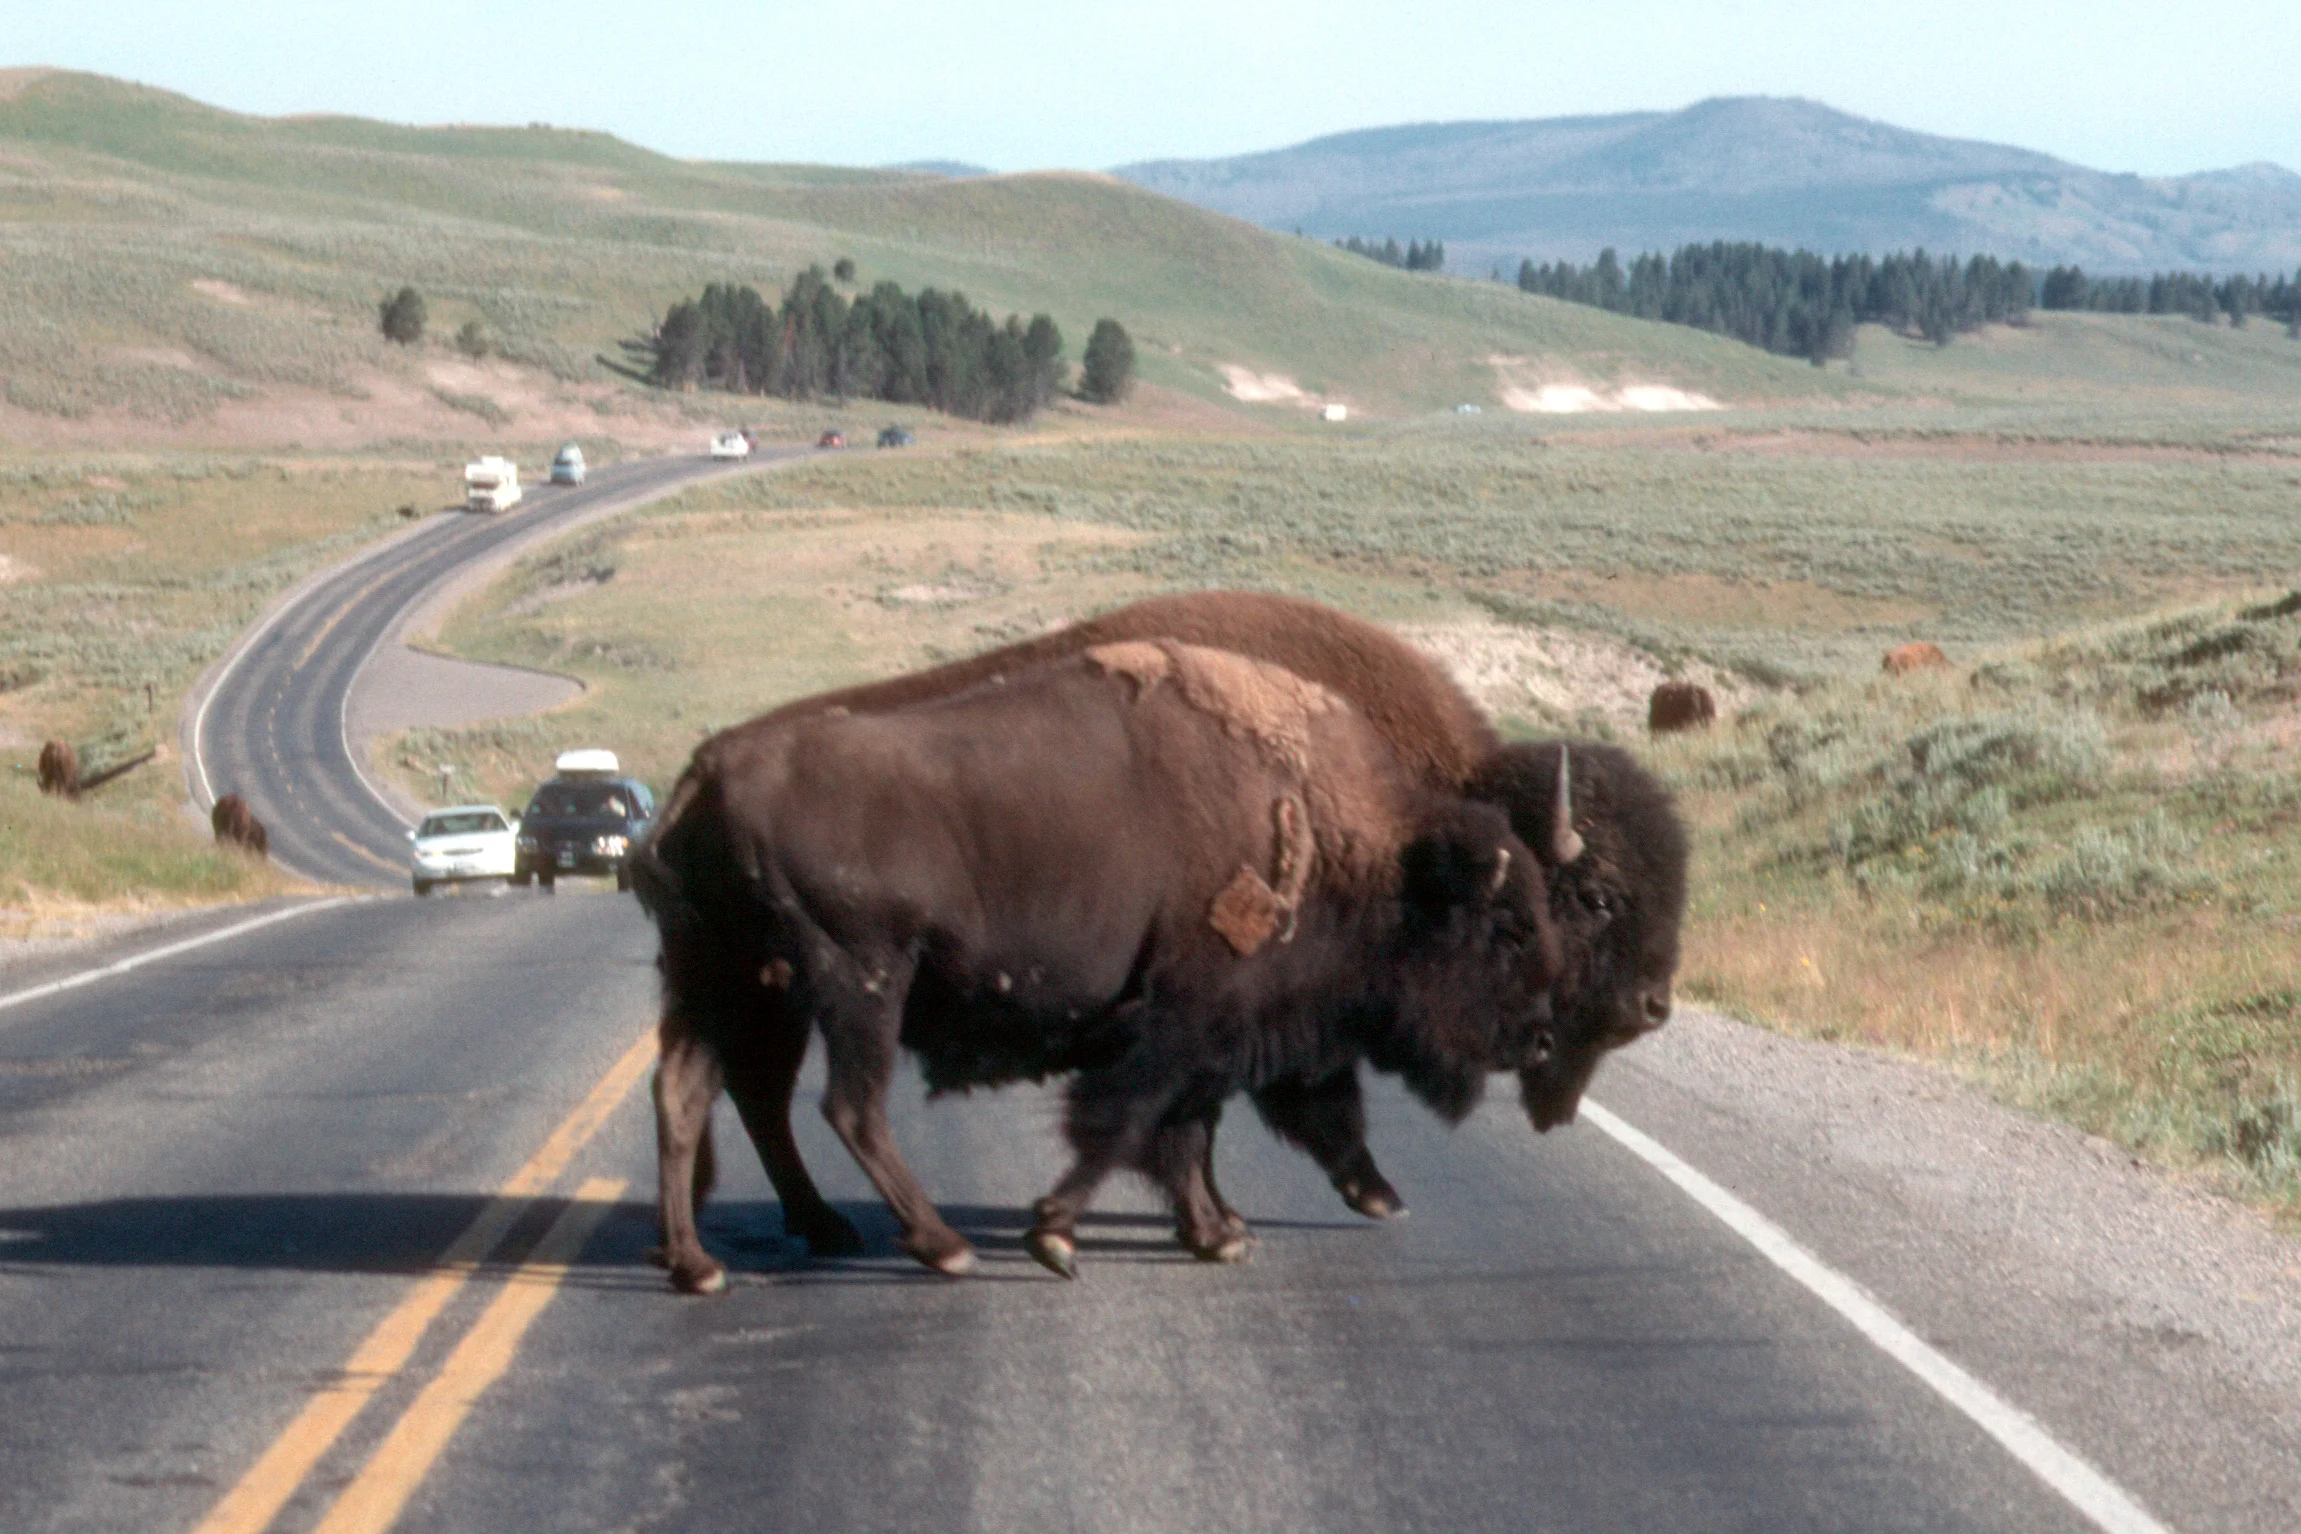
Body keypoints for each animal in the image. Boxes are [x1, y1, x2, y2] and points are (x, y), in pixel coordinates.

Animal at [639, 591, 1687, 1285]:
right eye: (1581, 901)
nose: (1648, 1007)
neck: (1367, 834)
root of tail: (705, 770)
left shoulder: (1221, 1028)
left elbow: (1191, 1124)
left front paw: (1218, 1226)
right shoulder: (1192, 1015)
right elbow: (1145, 1120)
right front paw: (1076, 1231)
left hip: (731, 981)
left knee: (697, 1092)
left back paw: (711, 1257)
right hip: (855, 982)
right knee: (844, 1107)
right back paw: (936, 1246)